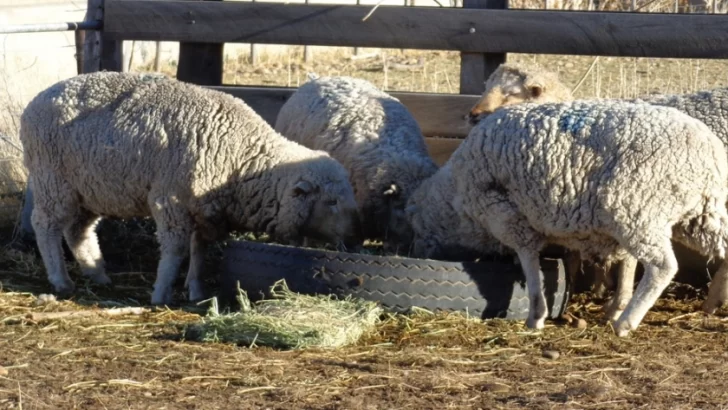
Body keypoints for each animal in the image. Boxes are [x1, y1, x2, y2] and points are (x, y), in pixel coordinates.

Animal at [16, 72, 358, 306]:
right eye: (331, 202)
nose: (354, 236)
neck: (241, 157)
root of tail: (37, 100)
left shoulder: (204, 209)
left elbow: (199, 250)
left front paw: (196, 289)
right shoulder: (171, 201)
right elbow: (176, 250)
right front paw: (161, 293)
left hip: (90, 189)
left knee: (78, 231)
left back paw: (97, 273)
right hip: (53, 181)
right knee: (45, 226)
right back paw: (61, 280)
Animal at [464, 62, 728, 320]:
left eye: (510, 93)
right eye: (487, 88)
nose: (473, 115)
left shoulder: (631, 204)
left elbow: (627, 260)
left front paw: (617, 304)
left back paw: (711, 301)